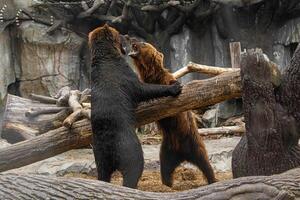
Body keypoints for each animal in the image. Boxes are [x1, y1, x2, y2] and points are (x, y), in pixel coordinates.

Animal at [88, 24, 182, 188]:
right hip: (127, 147)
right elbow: (143, 89)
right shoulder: (124, 76)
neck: (106, 56)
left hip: (99, 154)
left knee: (103, 173)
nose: (126, 35)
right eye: (119, 34)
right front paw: (175, 87)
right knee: (134, 168)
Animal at [126, 40, 216, 186]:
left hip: (192, 141)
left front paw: (176, 88)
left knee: (204, 161)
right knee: (165, 166)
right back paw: (167, 183)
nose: (133, 41)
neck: (152, 75)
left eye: (144, 43)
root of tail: (183, 154)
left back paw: (212, 179)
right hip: (167, 148)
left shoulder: (166, 80)